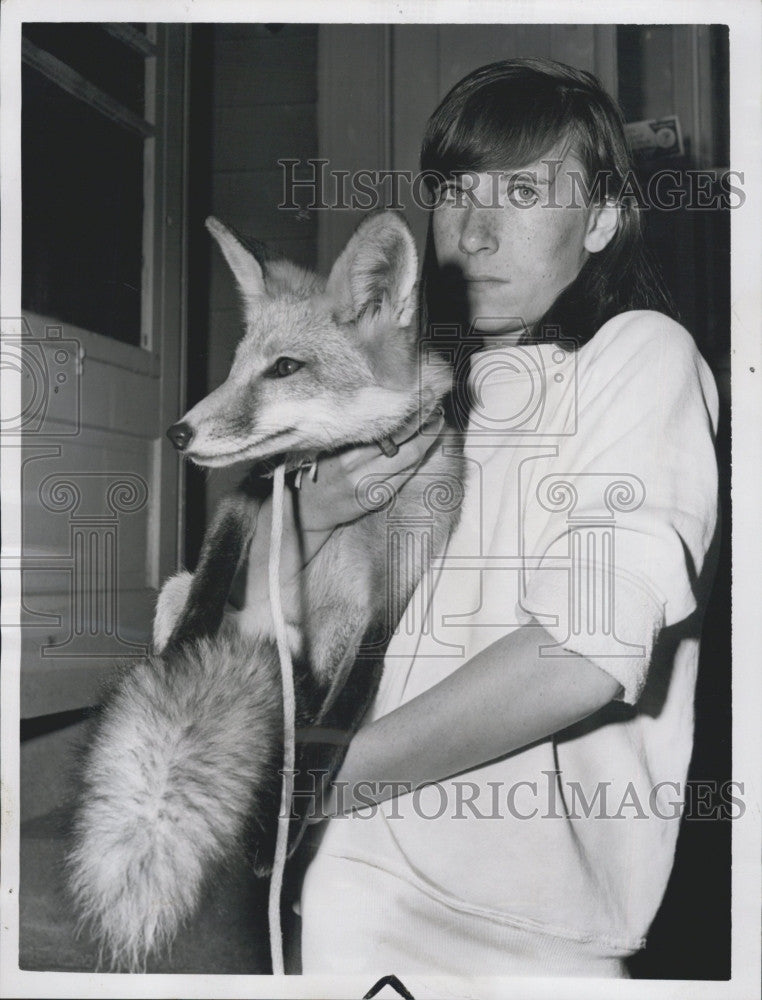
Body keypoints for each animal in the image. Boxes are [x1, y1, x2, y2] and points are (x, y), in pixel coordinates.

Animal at [67, 209, 464, 968]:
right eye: (235, 366)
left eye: (285, 368)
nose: (178, 432)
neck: (330, 467)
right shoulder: (248, 493)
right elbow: (211, 578)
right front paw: (177, 666)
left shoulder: (395, 589)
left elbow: (333, 721)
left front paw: (278, 824)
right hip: (188, 594)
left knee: (306, 711)